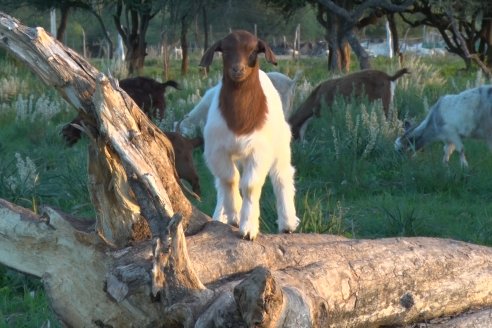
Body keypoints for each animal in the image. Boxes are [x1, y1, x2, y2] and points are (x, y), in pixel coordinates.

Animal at [200, 30, 300, 241]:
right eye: (225, 50)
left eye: (254, 50)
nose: (238, 69)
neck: (239, 120)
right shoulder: (217, 150)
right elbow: (229, 179)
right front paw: (234, 214)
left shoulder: (259, 150)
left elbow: (250, 185)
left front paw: (248, 227)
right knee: (221, 182)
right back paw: (220, 215)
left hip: (280, 143)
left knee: (282, 175)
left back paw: (287, 222)